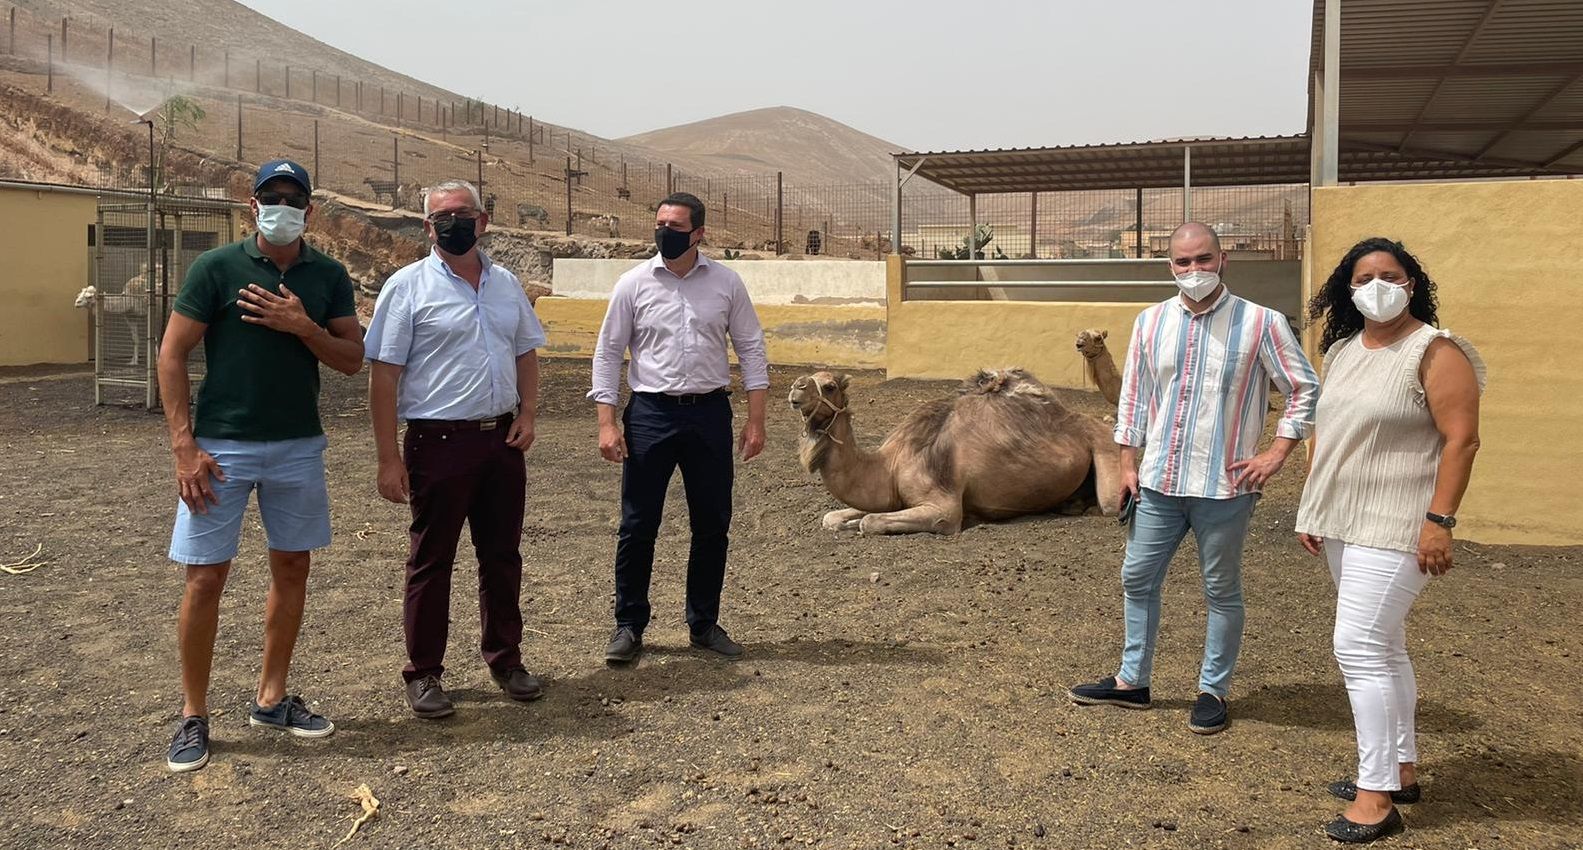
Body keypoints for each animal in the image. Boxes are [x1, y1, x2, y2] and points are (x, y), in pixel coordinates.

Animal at [791, 365, 1127, 538]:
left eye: (830, 386)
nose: (796, 387)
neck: (891, 465)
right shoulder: (892, 499)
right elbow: (833, 517)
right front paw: (845, 521)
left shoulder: (944, 507)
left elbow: (871, 521)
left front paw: (858, 523)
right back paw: (1070, 504)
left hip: (1106, 448)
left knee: (1112, 503)